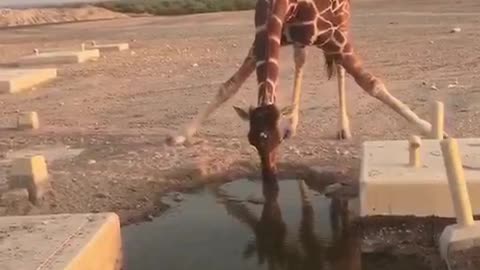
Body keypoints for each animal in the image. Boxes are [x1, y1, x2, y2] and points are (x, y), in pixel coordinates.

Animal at [168, 0, 438, 180]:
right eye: (251, 140)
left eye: (276, 139)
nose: (269, 174)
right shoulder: (266, 39)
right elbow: (228, 86)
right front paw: (182, 135)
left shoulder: (331, 37)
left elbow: (371, 83)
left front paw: (430, 128)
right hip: (302, 40)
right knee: (301, 61)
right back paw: (294, 122)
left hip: (342, 20)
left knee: (339, 69)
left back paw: (343, 128)